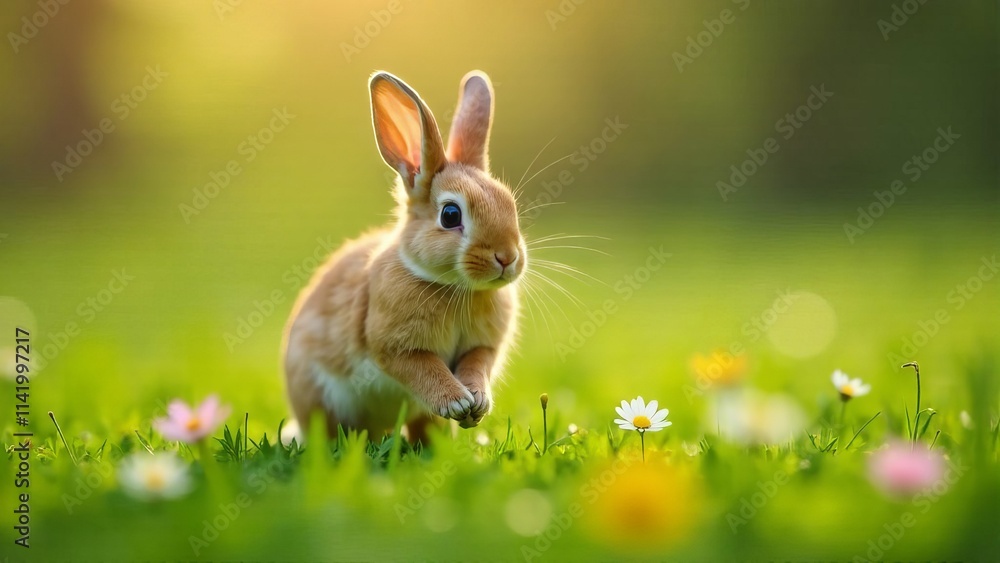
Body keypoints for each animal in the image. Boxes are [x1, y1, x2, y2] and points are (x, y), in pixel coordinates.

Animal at [282, 70, 526, 443]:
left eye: (510, 204)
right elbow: (422, 368)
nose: (507, 257)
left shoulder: (482, 347)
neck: (454, 287)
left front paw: (478, 403)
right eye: (451, 215)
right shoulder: (393, 347)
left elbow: (476, 364)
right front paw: (457, 402)